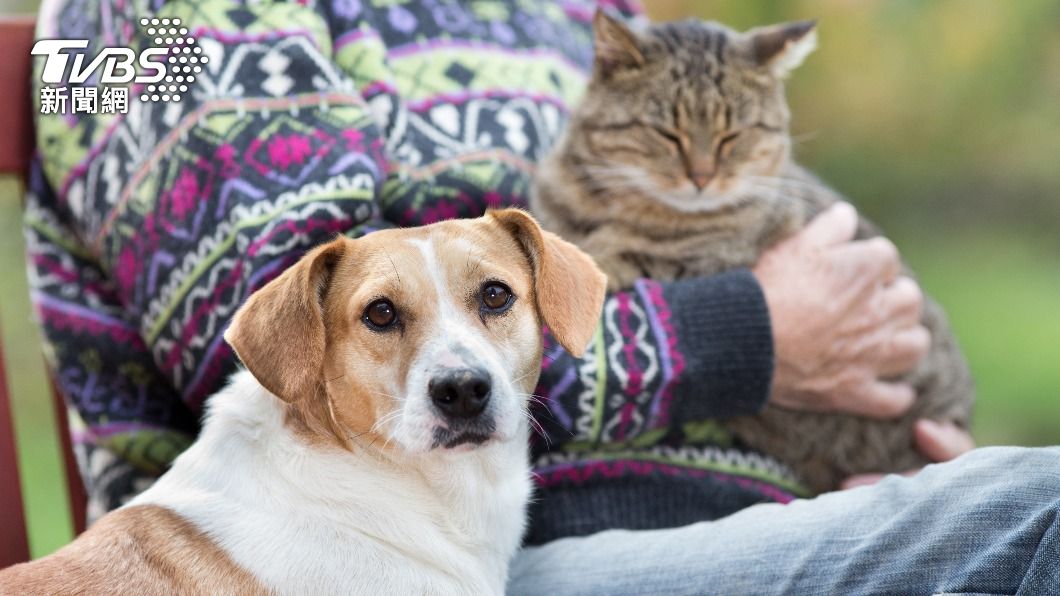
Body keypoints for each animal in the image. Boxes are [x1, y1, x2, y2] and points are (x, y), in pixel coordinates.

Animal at [530, 10, 975, 492]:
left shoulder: (713, 257)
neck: (609, 203)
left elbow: (628, 257)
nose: (702, 177)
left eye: (732, 136)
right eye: (667, 133)